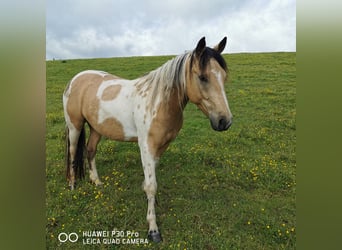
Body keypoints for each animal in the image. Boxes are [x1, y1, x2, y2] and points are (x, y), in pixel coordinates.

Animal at [62, 37, 232, 242]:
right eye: (203, 77)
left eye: (224, 77)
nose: (224, 121)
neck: (158, 102)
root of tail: (75, 79)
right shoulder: (146, 146)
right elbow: (152, 185)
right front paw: (153, 229)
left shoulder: (160, 146)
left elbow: (151, 179)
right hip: (75, 126)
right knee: (72, 153)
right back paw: (72, 185)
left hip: (96, 128)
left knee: (90, 150)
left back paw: (96, 181)